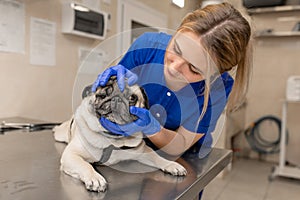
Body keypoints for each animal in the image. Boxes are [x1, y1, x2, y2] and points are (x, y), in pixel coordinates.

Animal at [52, 76, 186, 191]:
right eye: (103, 95)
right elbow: (85, 165)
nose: (116, 99)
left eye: (132, 98)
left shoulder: (143, 151)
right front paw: (95, 178)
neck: (112, 138)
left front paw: (171, 164)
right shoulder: (71, 155)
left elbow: (158, 158)